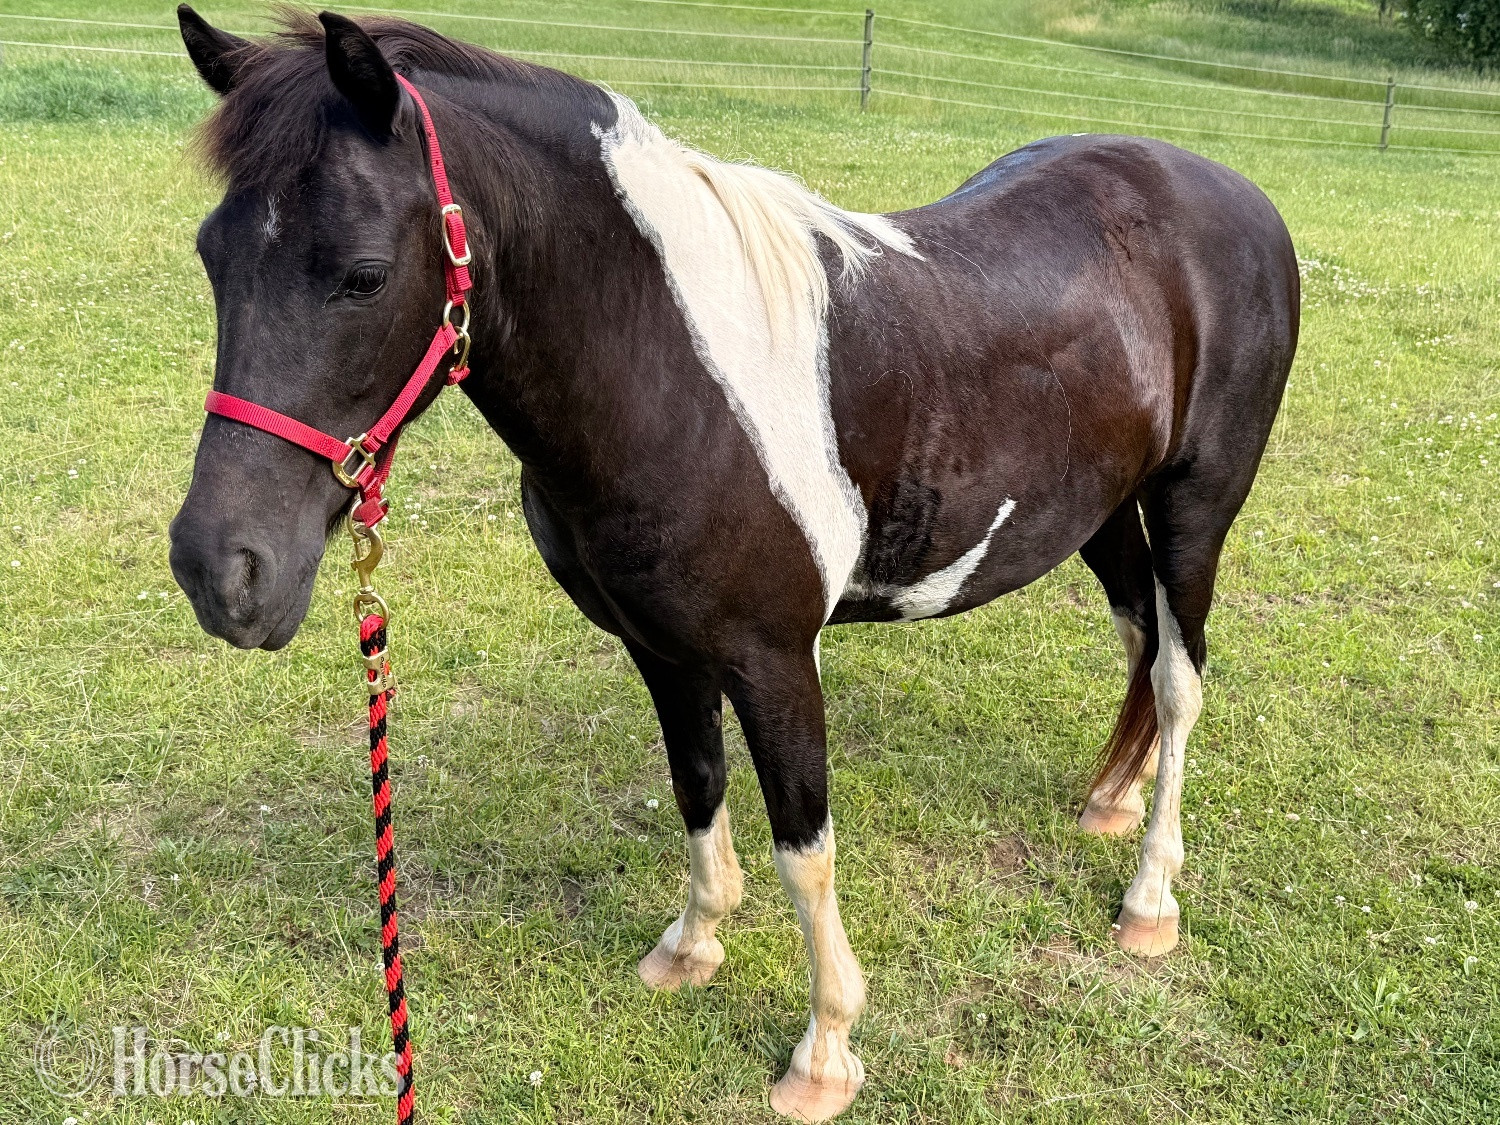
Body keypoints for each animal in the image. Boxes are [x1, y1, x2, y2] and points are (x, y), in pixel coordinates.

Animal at [167, 7, 1298, 1120]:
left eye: (362, 274)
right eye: (210, 256)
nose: (221, 571)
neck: (671, 375)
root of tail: (1234, 193)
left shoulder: (775, 657)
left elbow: (806, 847)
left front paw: (825, 1052)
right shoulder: (662, 647)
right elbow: (697, 784)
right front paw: (693, 944)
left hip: (1195, 506)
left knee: (1179, 677)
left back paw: (1150, 897)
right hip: (1098, 510)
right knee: (1140, 636)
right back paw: (1111, 799)